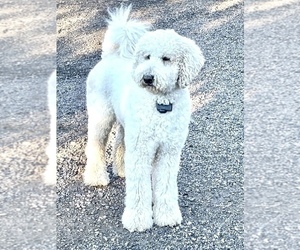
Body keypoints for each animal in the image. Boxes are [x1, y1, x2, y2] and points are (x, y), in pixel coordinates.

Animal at [84, 5, 206, 231]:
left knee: (120, 143)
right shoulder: (141, 150)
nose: (147, 77)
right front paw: (138, 219)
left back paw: (122, 169)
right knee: (96, 146)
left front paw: (166, 215)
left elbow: (165, 185)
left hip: (127, 126)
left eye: (166, 58)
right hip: (101, 117)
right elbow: (139, 189)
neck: (161, 103)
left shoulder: (168, 151)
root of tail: (109, 57)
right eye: (147, 57)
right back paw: (96, 177)